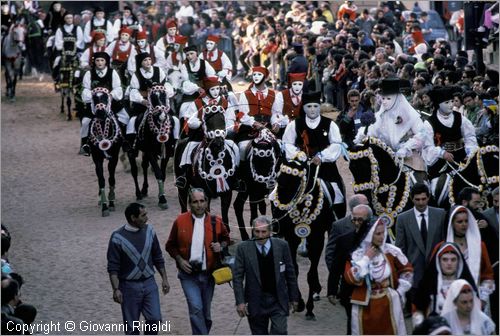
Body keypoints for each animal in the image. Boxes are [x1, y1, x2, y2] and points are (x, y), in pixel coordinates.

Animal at [88, 88, 123, 217]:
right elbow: (101, 180)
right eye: (94, 98)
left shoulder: (114, 158)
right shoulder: (97, 158)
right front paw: (104, 206)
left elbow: (111, 179)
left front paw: (111, 202)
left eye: (105, 98)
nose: (100, 111)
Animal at [174, 103, 240, 232]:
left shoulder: (227, 193)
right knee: (183, 206)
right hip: (182, 188)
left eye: (222, 120)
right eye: (207, 120)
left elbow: (225, 216)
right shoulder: (206, 194)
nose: (218, 143)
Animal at [272, 154, 338, 320]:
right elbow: (294, 269)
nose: (279, 215)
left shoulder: (317, 240)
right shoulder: (291, 239)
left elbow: (311, 274)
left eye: (295, 182)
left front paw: (309, 308)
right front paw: (298, 303)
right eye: (279, 180)